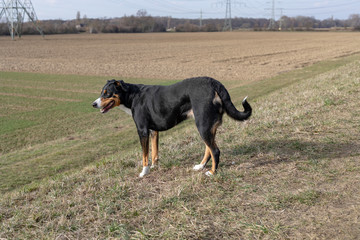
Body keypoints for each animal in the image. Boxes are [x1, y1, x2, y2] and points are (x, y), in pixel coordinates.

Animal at [91, 78, 252, 177]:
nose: (93, 104)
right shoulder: (153, 131)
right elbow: (154, 153)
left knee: (215, 151)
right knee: (209, 149)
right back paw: (200, 166)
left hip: (202, 125)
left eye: (107, 93)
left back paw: (212, 172)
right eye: (101, 92)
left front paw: (144, 172)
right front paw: (154, 167)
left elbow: (144, 155)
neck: (133, 96)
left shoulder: (142, 131)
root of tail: (213, 82)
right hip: (206, 127)